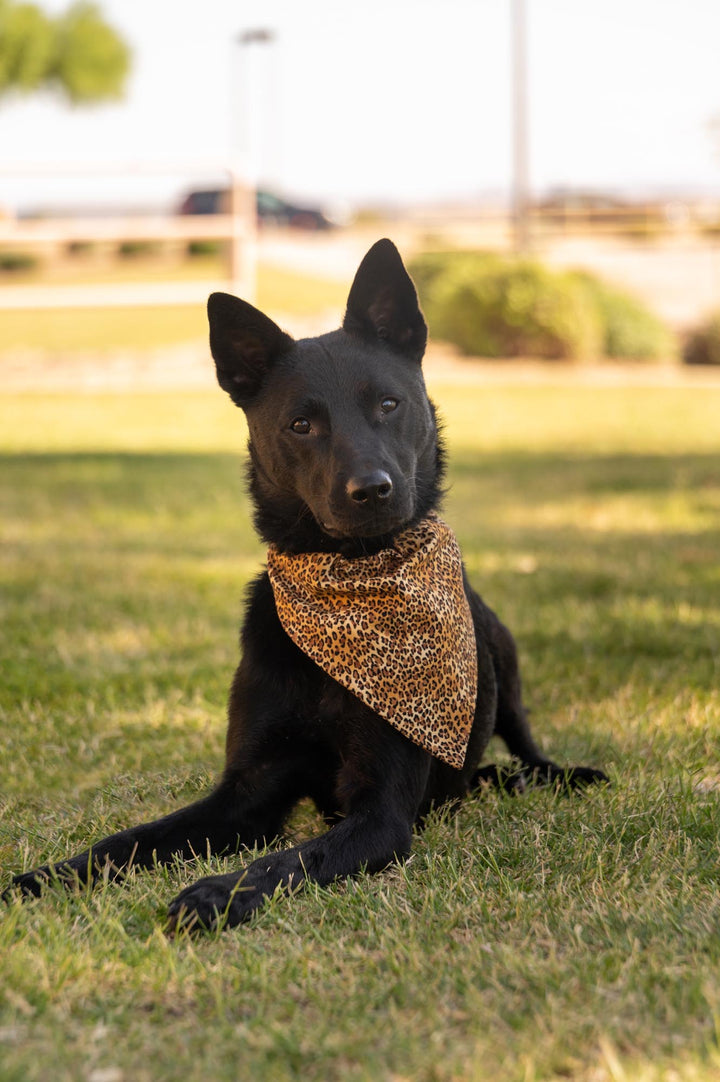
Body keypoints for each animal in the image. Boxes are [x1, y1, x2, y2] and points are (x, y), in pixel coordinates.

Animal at [8, 239, 601, 930]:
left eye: (388, 404)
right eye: (300, 425)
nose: (371, 491)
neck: (345, 587)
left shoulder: (379, 815)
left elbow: (289, 860)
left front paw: (214, 893)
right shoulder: (247, 793)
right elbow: (128, 840)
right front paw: (46, 877)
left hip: (503, 655)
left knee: (527, 750)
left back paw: (555, 776)